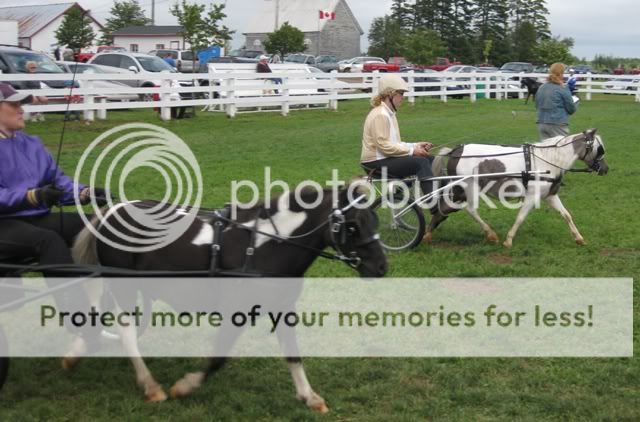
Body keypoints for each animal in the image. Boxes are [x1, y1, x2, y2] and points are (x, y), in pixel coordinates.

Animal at [71, 187, 390, 412]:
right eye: (352, 226)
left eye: (374, 221)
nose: (381, 267)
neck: (264, 246)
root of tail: (111, 210)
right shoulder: (237, 311)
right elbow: (217, 359)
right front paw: (185, 387)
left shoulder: (283, 307)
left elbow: (293, 354)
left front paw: (309, 396)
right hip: (122, 285)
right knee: (126, 333)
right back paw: (149, 385)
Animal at [428, 129, 608, 247]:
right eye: (599, 150)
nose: (605, 169)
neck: (547, 162)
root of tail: (456, 150)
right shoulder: (531, 197)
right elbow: (520, 218)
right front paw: (508, 240)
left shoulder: (550, 196)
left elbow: (566, 215)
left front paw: (579, 238)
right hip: (469, 189)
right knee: (470, 210)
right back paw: (490, 234)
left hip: (458, 191)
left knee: (443, 208)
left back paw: (428, 234)